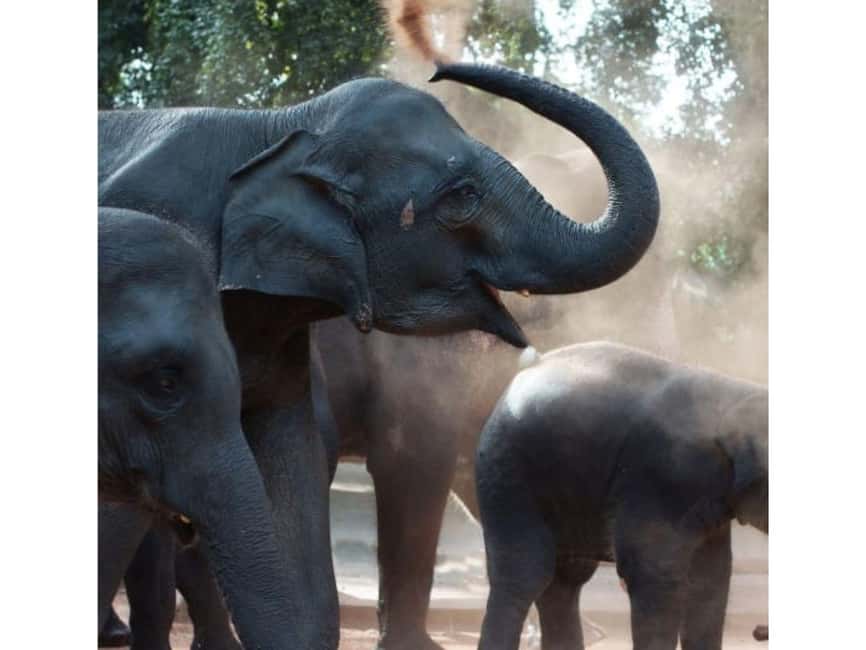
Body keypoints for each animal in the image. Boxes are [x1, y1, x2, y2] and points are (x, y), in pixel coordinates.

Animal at [473, 341, 768, 650]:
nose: (758, 632)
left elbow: (710, 577)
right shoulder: (657, 478)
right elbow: (652, 572)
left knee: (566, 579)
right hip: (507, 476)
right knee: (524, 574)